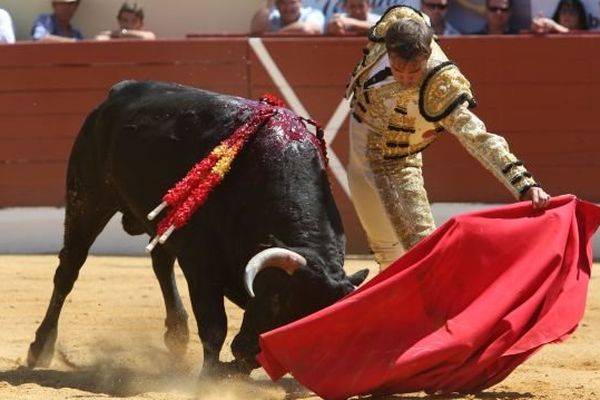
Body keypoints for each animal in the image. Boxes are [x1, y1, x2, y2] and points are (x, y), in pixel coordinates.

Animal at [27, 79, 370, 376]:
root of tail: (120, 90)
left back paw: (177, 335)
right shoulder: (200, 263)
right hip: (88, 198)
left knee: (161, 262)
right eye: (277, 299)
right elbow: (214, 324)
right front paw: (209, 377)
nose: (246, 349)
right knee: (69, 269)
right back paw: (40, 348)